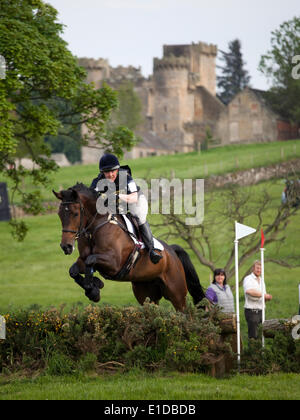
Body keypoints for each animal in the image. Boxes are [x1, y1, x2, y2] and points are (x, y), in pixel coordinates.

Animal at [52, 182, 205, 310]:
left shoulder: (114, 263)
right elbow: (73, 270)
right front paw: (95, 287)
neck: (96, 227)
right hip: (146, 294)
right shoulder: (84, 260)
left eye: (75, 214)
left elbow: (91, 261)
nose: (66, 246)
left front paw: (93, 289)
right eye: (59, 214)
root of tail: (172, 252)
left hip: (176, 293)